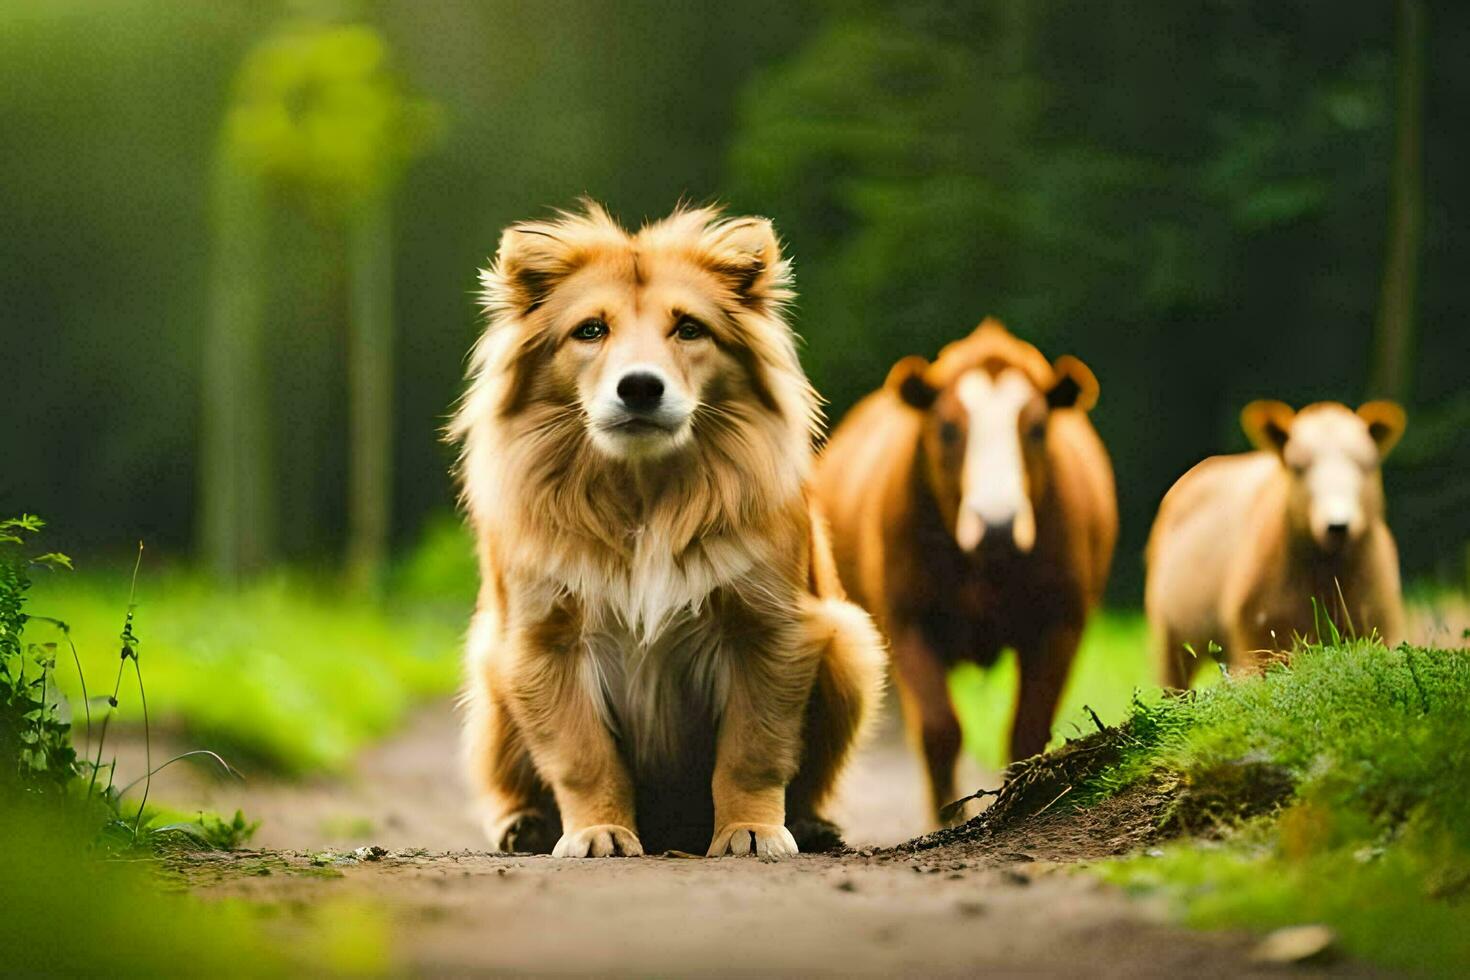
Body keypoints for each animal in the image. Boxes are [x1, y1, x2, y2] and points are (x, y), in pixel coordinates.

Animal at [446, 201, 882, 858]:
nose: (640, 387)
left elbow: (753, 750)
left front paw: (750, 828)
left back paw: (811, 824)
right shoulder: (543, 641)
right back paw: (525, 825)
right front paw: (598, 830)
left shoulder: (772, 630)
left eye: (690, 329)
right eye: (590, 331)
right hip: (492, 685)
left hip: (850, 648)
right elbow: (583, 756)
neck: (644, 493)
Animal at [817, 321, 1111, 822]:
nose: (997, 523)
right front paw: (947, 817)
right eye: (949, 428)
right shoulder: (907, 621)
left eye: (1037, 428)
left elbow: (1027, 730)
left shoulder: (1060, 622)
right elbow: (939, 731)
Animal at [1140, 399, 1405, 690]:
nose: (1337, 523)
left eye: (1366, 464)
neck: (1326, 579)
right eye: (1298, 466)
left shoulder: (1381, 627)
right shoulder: (1257, 640)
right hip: (1171, 640)